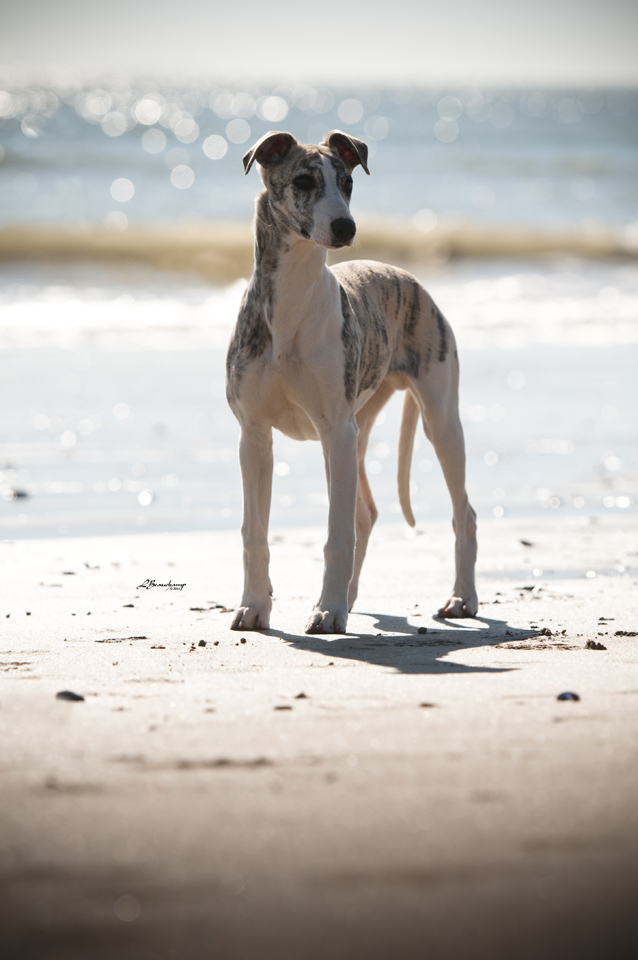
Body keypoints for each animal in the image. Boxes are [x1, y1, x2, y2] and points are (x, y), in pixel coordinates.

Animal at [226, 130, 477, 634]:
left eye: (347, 182)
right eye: (303, 181)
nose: (346, 228)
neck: (292, 305)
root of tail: (406, 276)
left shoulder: (334, 431)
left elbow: (336, 533)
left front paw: (328, 611)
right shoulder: (254, 437)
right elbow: (254, 533)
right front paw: (254, 607)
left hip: (437, 419)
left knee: (463, 513)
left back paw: (461, 598)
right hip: (359, 429)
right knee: (366, 513)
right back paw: (352, 596)